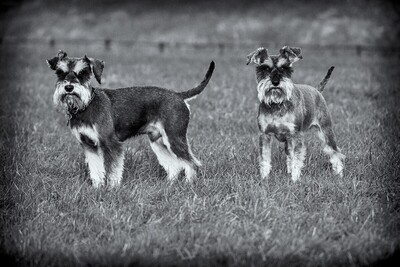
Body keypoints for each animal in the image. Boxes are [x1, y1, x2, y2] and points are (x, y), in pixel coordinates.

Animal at [46, 50, 216, 188]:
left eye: (83, 73)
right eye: (60, 72)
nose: (68, 88)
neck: (86, 105)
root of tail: (179, 96)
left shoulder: (111, 144)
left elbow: (113, 170)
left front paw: (112, 189)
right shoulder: (89, 146)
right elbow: (95, 170)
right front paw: (97, 188)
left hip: (174, 138)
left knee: (192, 163)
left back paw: (188, 184)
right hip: (158, 142)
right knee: (174, 165)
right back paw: (169, 185)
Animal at [245, 46, 346, 181]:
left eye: (284, 68)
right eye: (265, 68)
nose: (275, 82)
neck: (277, 103)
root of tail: (317, 90)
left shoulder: (296, 136)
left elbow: (297, 160)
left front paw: (295, 180)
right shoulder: (265, 135)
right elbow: (264, 159)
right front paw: (264, 178)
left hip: (326, 131)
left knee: (335, 151)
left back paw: (339, 174)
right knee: (289, 156)